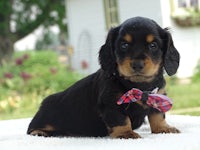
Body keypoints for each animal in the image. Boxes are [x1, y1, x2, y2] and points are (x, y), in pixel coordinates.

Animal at [26, 16, 180, 138]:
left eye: (153, 45)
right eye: (124, 45)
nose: (137, 64)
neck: (138, 86)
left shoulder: (158, 96)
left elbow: (157, 115)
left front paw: (163, 128)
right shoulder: (110, 103)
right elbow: (121, 119)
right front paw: (126, 133)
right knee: (32, 128)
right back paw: (39, 132)